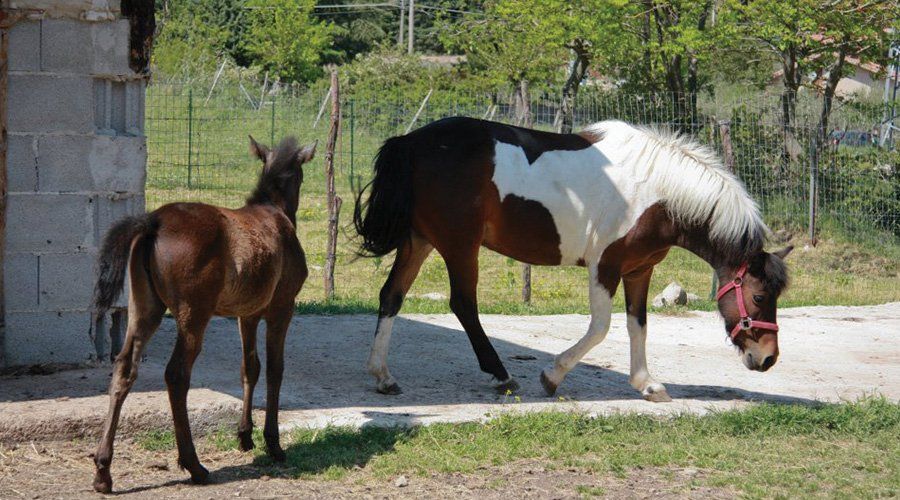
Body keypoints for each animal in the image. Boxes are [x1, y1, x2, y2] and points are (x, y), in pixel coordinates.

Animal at [90, 136, 315, 493]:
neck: (275, 212)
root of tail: (153, 221)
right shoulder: (282, 307)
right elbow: (275, 370)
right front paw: (273, 442)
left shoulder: (247, 313)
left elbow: (249, 368)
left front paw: (245, 435)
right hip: (193, 314)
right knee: (177, 374)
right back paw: (194, 465)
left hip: (145, 307)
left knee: (124, 368)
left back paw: (103, 471)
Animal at [353, 116, 791, 400]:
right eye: (758, 296)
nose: (768, 358)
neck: (658, 194)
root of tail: (411, 142)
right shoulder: (605, 267)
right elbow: (600, 328)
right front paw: (551, 376)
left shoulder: (639, 270)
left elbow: (638, 326)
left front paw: (646, 383)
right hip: (460, 245)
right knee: (463, 304)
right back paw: (501, 375)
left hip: (421, 240)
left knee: (391, 296)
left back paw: (382, 376)